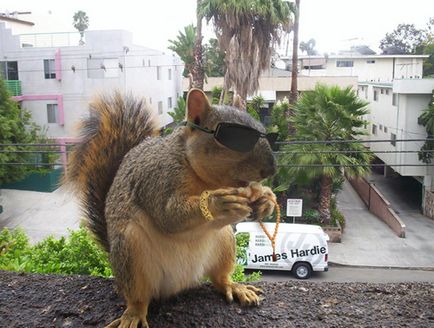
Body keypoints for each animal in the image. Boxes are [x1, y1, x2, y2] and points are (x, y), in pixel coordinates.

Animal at [66, 88, 276, 328]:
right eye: (234, 138)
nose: (272, 169)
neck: (203, 179)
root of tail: (176, 284)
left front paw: (266, 199)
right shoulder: (158, 177)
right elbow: (167, 215)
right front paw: (217, 203)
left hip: (223, 242)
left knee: (219, 278)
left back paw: (235, 287)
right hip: (130, 250)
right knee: (138, 297)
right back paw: (133, 314)